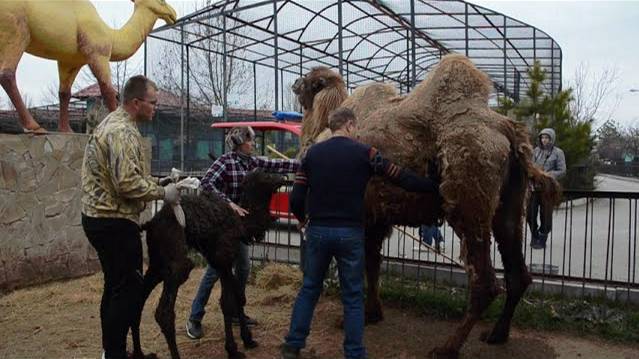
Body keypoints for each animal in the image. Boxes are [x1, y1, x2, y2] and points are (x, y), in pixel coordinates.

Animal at [0, 0, 176, 134]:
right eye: (161, 1)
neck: (111, 36)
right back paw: (34, 127)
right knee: (7, 74)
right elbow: (108, 90)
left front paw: (66, 130)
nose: (173, 14)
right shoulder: (98, 53)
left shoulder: (70, 61)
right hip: (17, 32)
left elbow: (64, 93)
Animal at [292, 54, 564, 359]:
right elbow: (373, 262)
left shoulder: (360, 217)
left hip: (467, 203)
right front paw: (373, 314)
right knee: (518, 273)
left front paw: (352, 317)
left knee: (485, 282)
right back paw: (496, 334)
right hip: (509, 208)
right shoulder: (377, 219)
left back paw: (447, 347)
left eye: (308, 80)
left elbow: (357, 266)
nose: (295, 84)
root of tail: (509, 131)